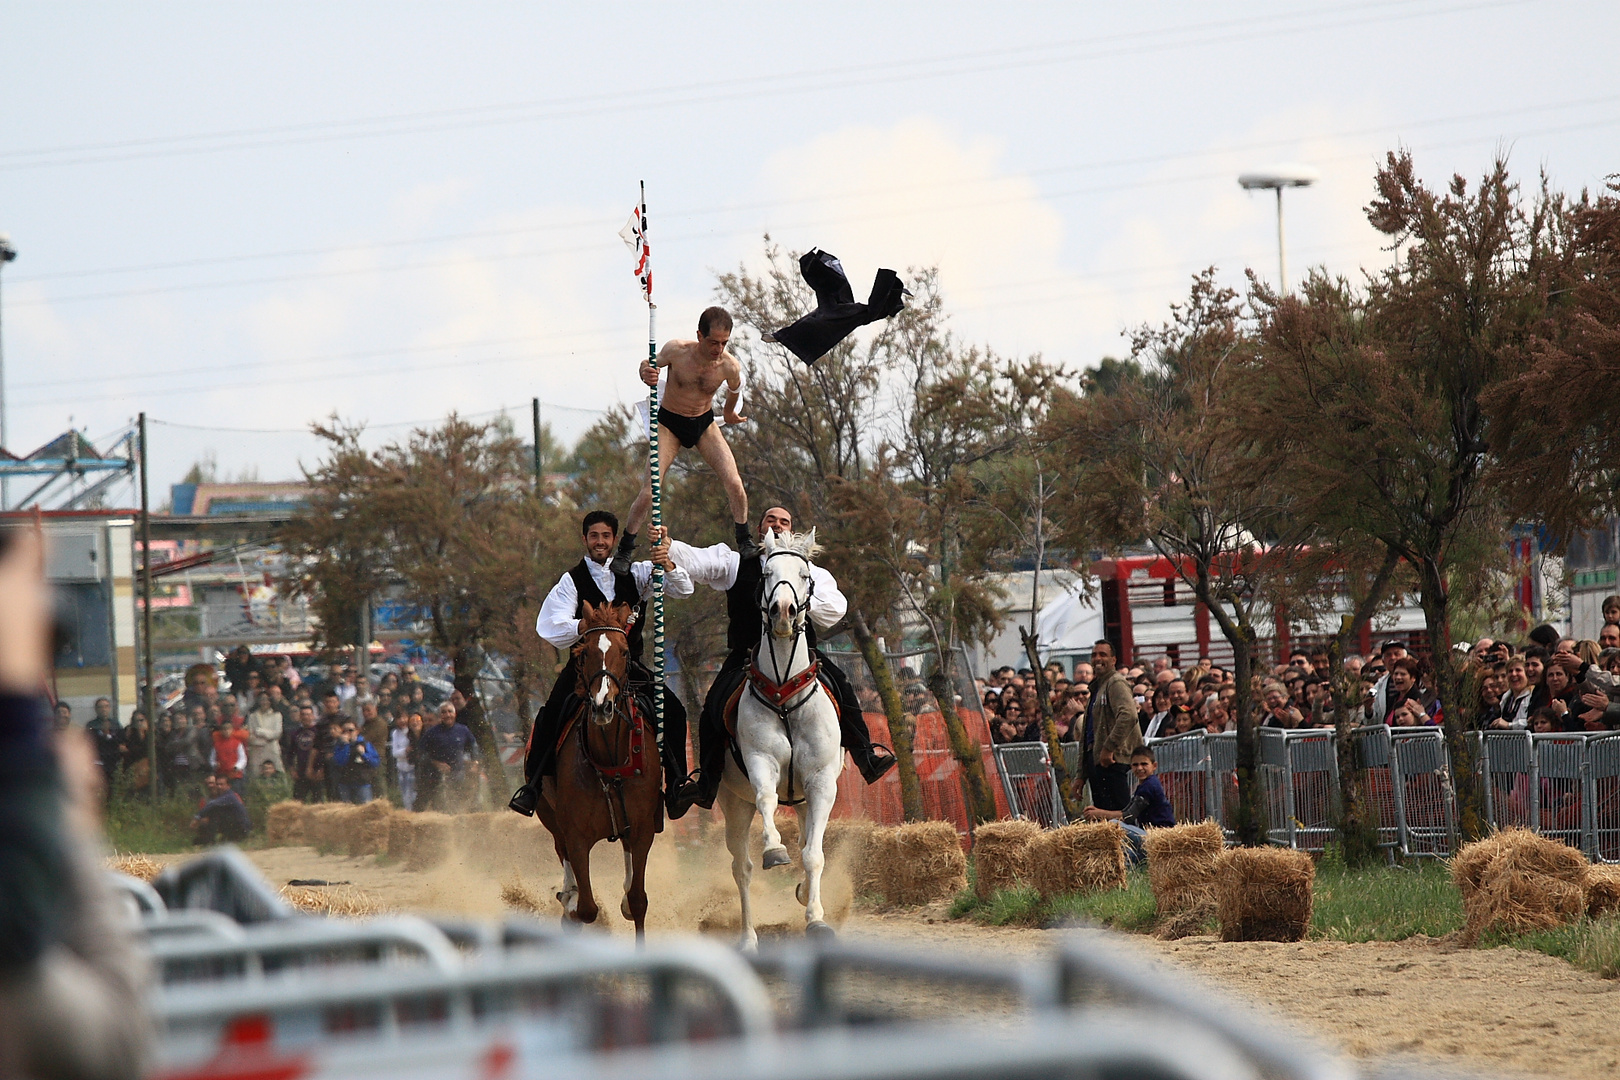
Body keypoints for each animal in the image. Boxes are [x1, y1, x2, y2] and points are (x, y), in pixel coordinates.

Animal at [531, 605, 657, 939]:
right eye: (583, 652)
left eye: (625, 652)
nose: (603, 705)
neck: (609, 762)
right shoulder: (576, 836)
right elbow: (586, 909)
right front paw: (573, 902)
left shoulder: (642, 830)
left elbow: (638, 901)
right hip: (551, 819)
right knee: (563, 857)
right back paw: (568, 894)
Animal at [725, 527, 848, 952]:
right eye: (766, 573)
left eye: (805, 576)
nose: (783, 611)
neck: (784, 697)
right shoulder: (760, 764)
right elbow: (767, 800)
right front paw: (776, 850)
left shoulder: (822, 785)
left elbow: (813, 856)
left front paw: (816, 918)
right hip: (732, 805)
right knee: (742, 868)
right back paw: (747, 937)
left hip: (805, 800)